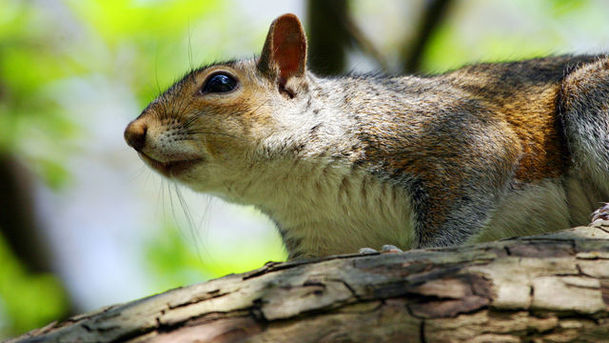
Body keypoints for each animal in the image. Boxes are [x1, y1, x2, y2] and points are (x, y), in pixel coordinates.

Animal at [123, 14, 608, 260]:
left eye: (220, 83)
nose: (132, 133)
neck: (295, 183)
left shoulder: (452, 133)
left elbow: (471, 184)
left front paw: (414, 251)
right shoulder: (318, 239)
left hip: (592, 96)